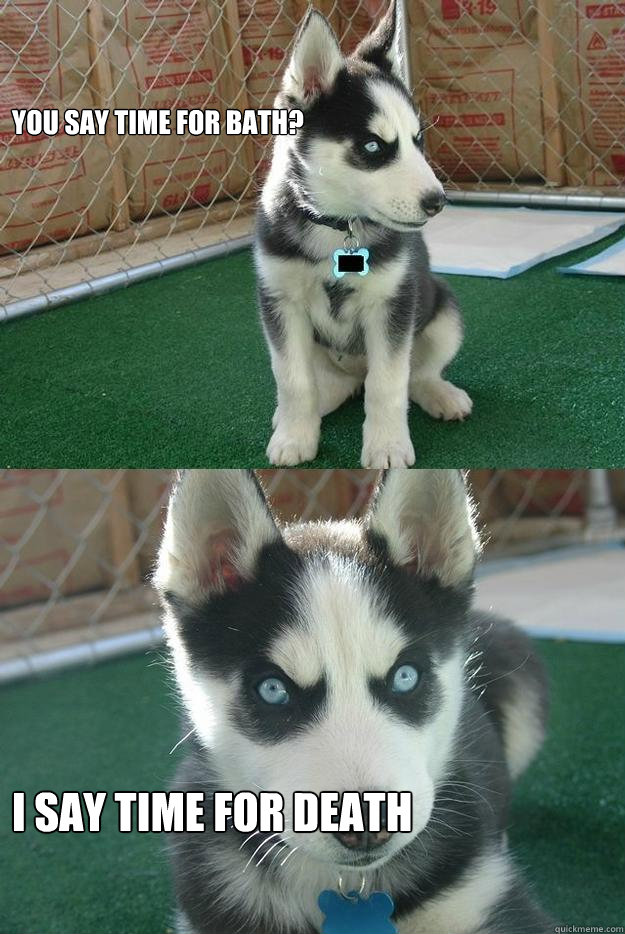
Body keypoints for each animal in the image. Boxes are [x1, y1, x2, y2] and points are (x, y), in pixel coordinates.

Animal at [256, 0, 470, 468]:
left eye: (417, 140)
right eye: (373, 146)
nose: (438, 201)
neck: (338, 226)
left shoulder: (392, 305)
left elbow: (388, 383)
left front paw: (387, 445)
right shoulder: (280, 303)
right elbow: (292, 379)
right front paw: (294, 437)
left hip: (443, 312)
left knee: (414, 375)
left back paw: (440, 394)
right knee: (327, 385)